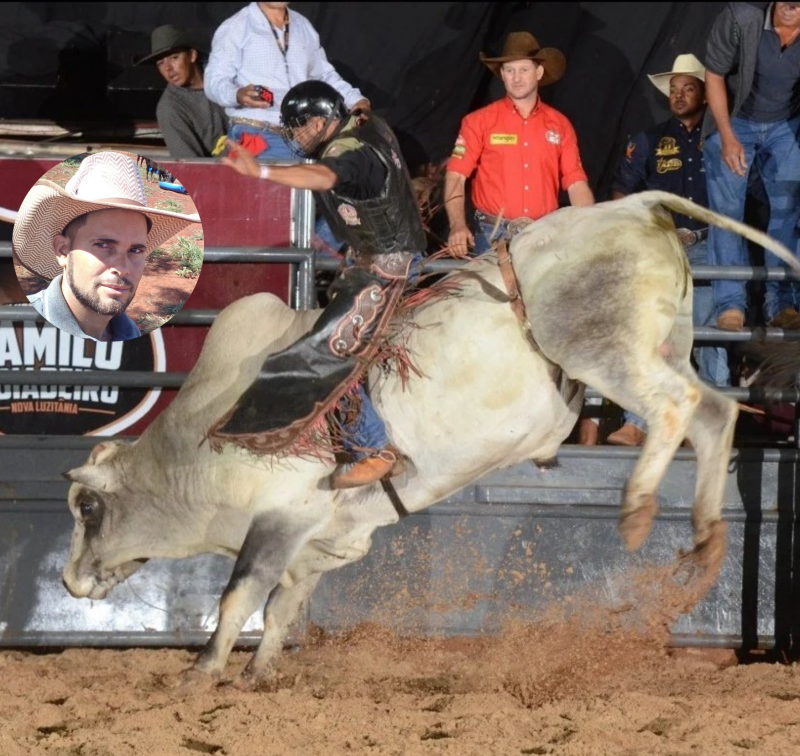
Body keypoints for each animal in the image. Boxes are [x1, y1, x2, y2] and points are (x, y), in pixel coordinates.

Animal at [61, 190, 800, 684]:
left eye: (89, 508)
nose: (69, 581)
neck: (200, 440)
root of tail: (638, 203)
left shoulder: (280, 515)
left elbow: (240, 593)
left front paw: (201, 672)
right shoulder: (324, 541)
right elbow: (282, 608)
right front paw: (260, 674)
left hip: (603, 349)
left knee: (678, 409)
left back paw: (640, 508)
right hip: (662, 346)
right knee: (715, 416)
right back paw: (704, 542)